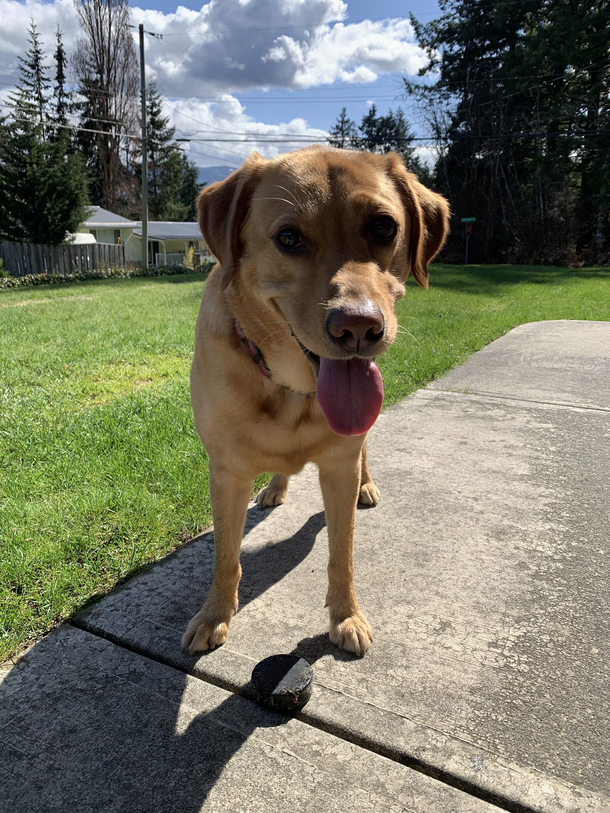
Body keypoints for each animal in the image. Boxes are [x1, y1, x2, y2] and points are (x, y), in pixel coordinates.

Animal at [180, 144, 446, 652]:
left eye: (384, 227)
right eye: (288, 237)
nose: (359, 327)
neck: (293, 388)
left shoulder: (339, 465)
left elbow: (342, 555)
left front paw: (347, 617)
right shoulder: (225, 473)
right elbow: (226, 556)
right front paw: (214, 614)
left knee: (366, 451)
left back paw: (367, 485)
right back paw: (276, 486)